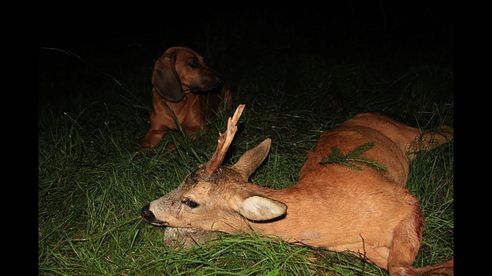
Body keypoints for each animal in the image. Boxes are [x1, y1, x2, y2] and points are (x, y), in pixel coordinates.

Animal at [141, 104, 454, 274]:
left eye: (191, 201)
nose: (146, 210)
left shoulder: (406, 202)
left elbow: (400, 268)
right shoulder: (361, 249)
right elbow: (396, 267)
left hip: (412, 136)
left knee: (441, 130)